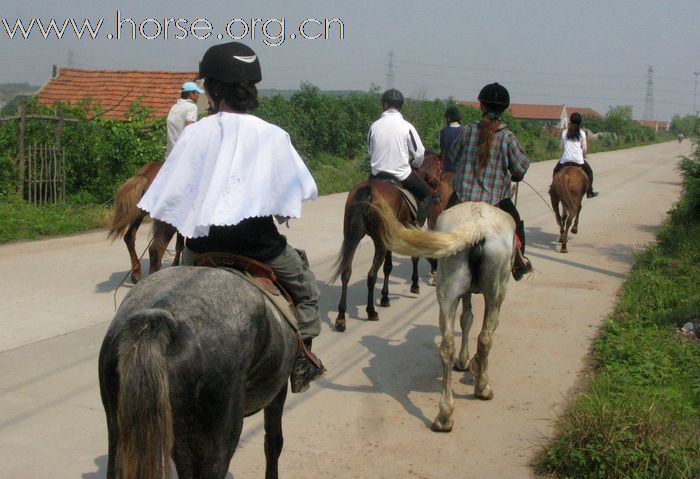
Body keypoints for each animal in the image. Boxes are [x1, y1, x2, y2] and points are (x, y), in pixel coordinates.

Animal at [330, 155, 440, 334]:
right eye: (440, 168)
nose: (437, 196)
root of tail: (367, 191)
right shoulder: (411, 229)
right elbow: (414, 257)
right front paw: (414, 285)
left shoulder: (391, 237)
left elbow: (388, 267)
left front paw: (385, 297)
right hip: (379, 241)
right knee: (371, 275)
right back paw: (371, 311)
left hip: (352, 237)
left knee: (346, 272)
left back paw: (341, 318)